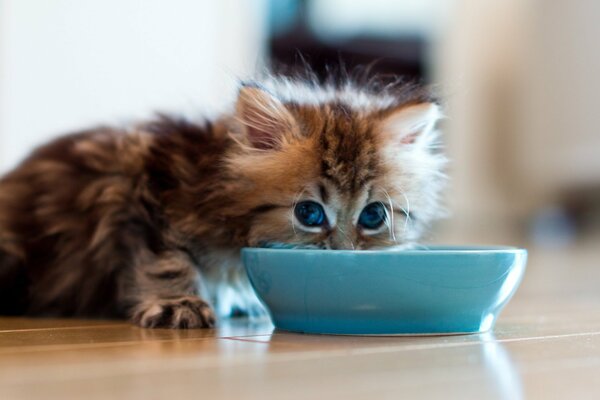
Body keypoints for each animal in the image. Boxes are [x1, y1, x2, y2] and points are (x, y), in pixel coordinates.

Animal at [0, 74, 446, 328]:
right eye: (309, 213)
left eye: (373, 216)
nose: (343, 254)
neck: (213, 182)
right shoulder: (143, 191)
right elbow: (167, 261)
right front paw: (178, 304)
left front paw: (238, 298)